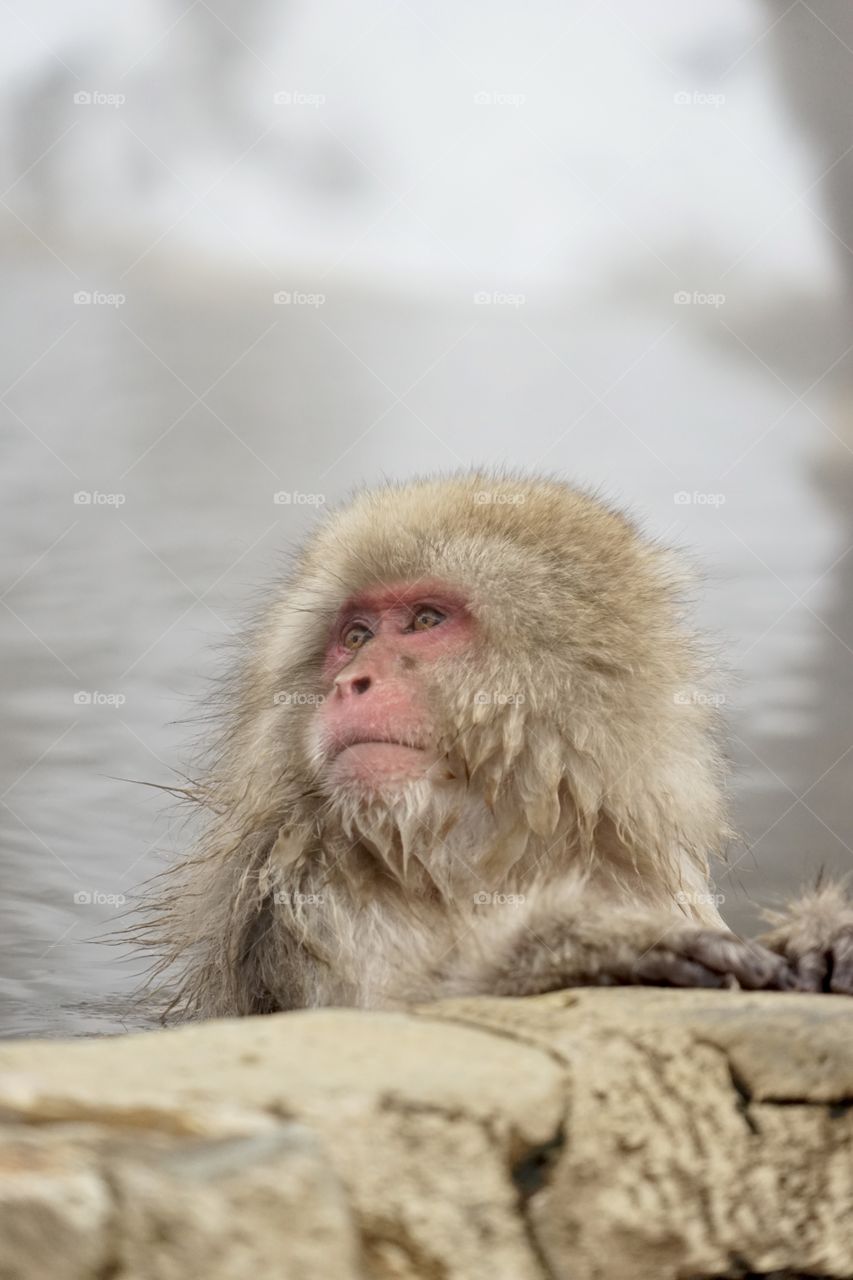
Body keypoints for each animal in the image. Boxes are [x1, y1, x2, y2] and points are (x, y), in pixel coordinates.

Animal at [139, 470, 853, 1018]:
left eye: (426, 620)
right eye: (357, 635)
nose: (350, 682)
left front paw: (826, 936)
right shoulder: (309, 890)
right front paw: (588, 947)